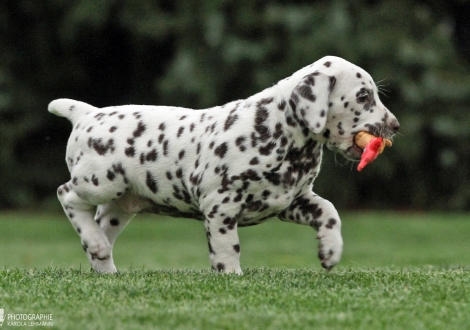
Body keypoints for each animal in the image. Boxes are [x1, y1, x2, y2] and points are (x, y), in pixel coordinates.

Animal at [48, 56, 400, 274]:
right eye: (364, 97)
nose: (395, 126)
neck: (276, 130)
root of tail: (87, 113)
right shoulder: (221, 206)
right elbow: (227, 247)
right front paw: (230, 275)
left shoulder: (291, 200)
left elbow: (329, 212)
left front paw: (331, 251)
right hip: (101, 182)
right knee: (66, 194)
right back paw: (94, 241)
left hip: (120, 206)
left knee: (99, 228)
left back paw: (102, 258)